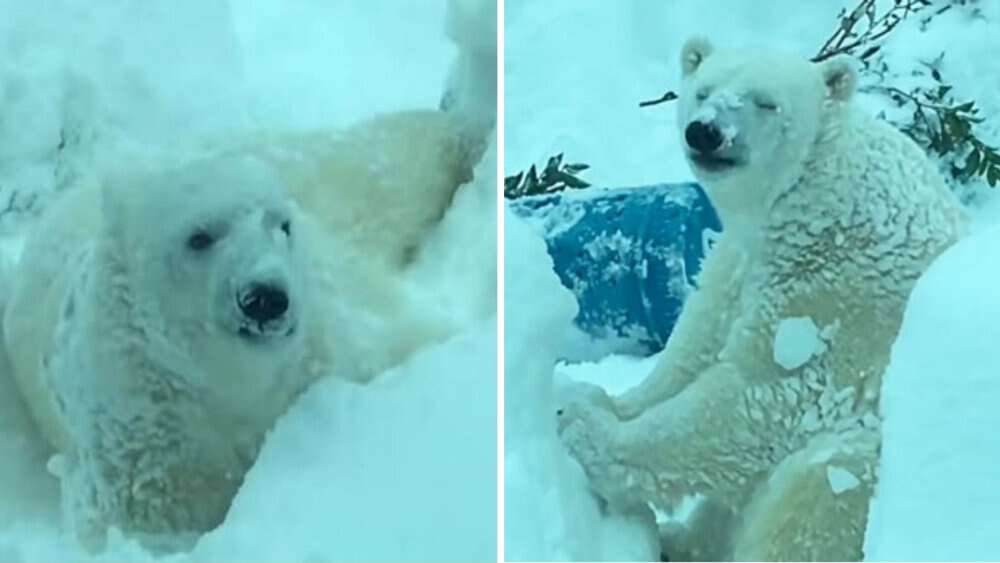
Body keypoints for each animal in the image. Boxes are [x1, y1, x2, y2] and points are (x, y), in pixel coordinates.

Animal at [557, 37, 967, 561]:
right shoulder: (739, 261)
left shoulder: (834, 296)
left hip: (861, 475)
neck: (815, 192)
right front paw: (599, 397)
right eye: (703, 90)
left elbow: (759, 396)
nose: (705, 133)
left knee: (810, 500)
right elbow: (694, 347)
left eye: (767, 102)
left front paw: (583, 426)